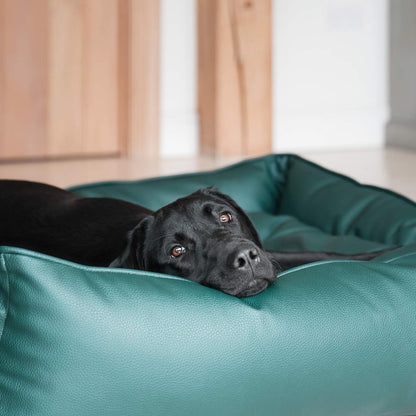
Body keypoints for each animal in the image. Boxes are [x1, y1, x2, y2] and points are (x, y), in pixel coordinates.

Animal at [0, 180, 390, 298]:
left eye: (225, 216)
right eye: (178, 251)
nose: (245, 258)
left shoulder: (270, 252)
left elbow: (319, 253)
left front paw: (388, 254)